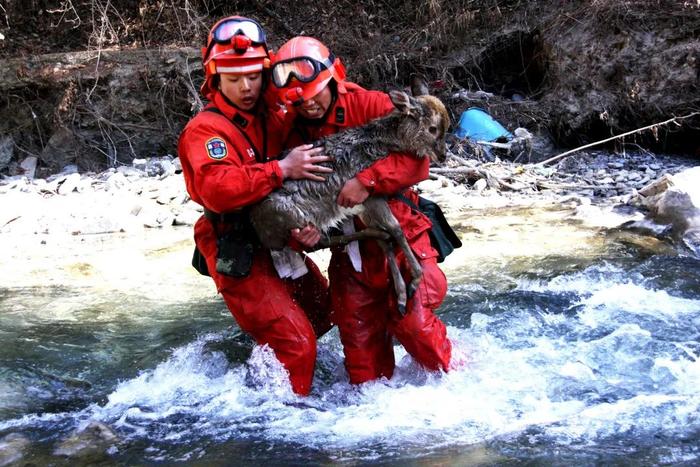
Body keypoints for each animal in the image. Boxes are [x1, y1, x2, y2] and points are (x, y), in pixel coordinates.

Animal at [250, 89, 448, 312]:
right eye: (432, 128)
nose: (443, 154)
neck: (384, 143)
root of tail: (258, 229)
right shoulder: (371, 196)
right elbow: (396, 229)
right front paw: (414, 281)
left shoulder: (364, 204)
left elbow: (389, 239)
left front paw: (401, 295)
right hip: (291, 215)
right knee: (317, 243)